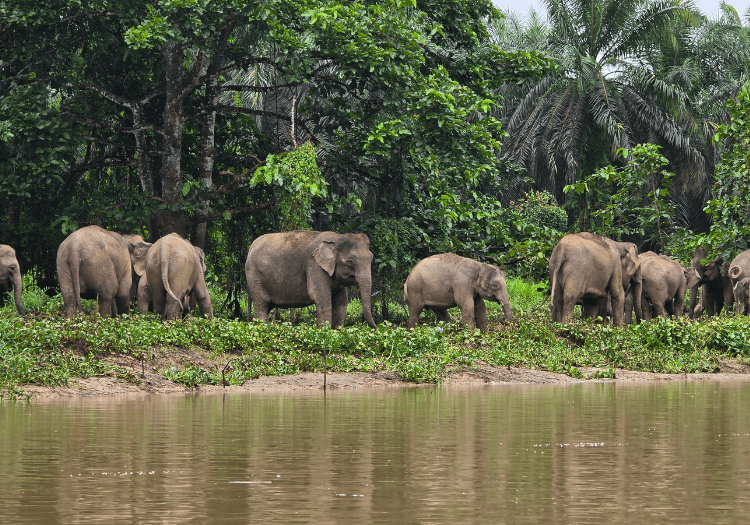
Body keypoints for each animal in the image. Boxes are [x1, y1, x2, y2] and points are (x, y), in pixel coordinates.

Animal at [245, 230, 376, 328]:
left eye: (371, 258)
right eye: (350, 261)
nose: (375, 328)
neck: (337, 238)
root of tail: (250, 248)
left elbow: (341, 303)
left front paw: (336, 331)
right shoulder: (314, 266)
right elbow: (321, 297)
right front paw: (325, 331)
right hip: (254, 276)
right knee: (261, 304)